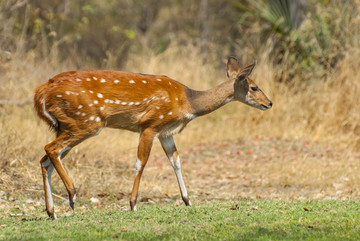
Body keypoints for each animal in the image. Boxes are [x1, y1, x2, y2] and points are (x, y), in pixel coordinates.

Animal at [34, 56, 272, 218]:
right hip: (86, 121)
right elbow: (141, 162)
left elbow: (176, 161)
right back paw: (72, 195)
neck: (188, 103)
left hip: (67, 124)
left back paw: (52, 212)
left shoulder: (166, 132)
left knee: (46, 159)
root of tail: (41, 91)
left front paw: (188, 201)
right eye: (254, 87)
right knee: (50, 149)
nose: (269, 103)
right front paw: (132, 204)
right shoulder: (150, 125)